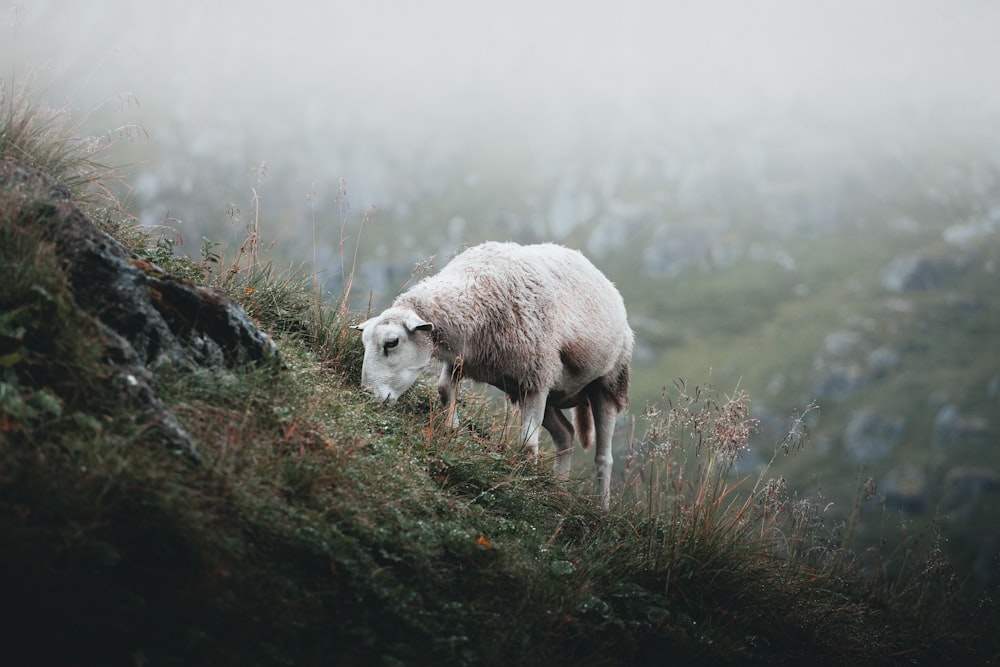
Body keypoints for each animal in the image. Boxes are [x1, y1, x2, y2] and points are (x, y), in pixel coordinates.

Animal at [352, 240, 632, 506]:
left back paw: (602, 507)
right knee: (565, 434)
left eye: (391, 343)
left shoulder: (537, 376)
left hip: (606, 383)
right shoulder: (464, 359)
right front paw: (454, 430)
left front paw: (528, 487)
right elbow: (444, 389)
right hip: (538, 390)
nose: (368, 394)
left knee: (603, 458)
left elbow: (528, 446)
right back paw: (560, 491)